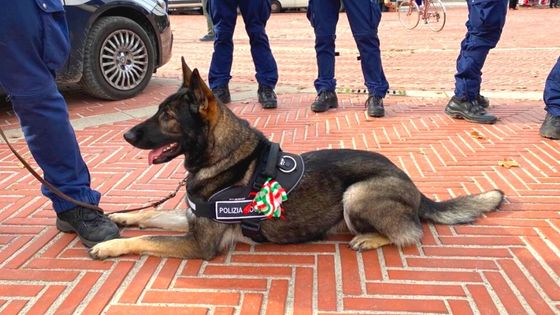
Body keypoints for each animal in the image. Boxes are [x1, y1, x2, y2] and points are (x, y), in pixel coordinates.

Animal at [88, 59, 504, 262]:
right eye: (158, 110)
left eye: (167, 117)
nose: (126, 136)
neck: (222, 155)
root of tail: (415, 188)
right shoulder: (190, 220)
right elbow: (150, 217)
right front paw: (118, 217)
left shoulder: (198, 245)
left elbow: (147, 238)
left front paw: (109, 247)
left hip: (356, 195)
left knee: (410, 233)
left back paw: (370, 239)